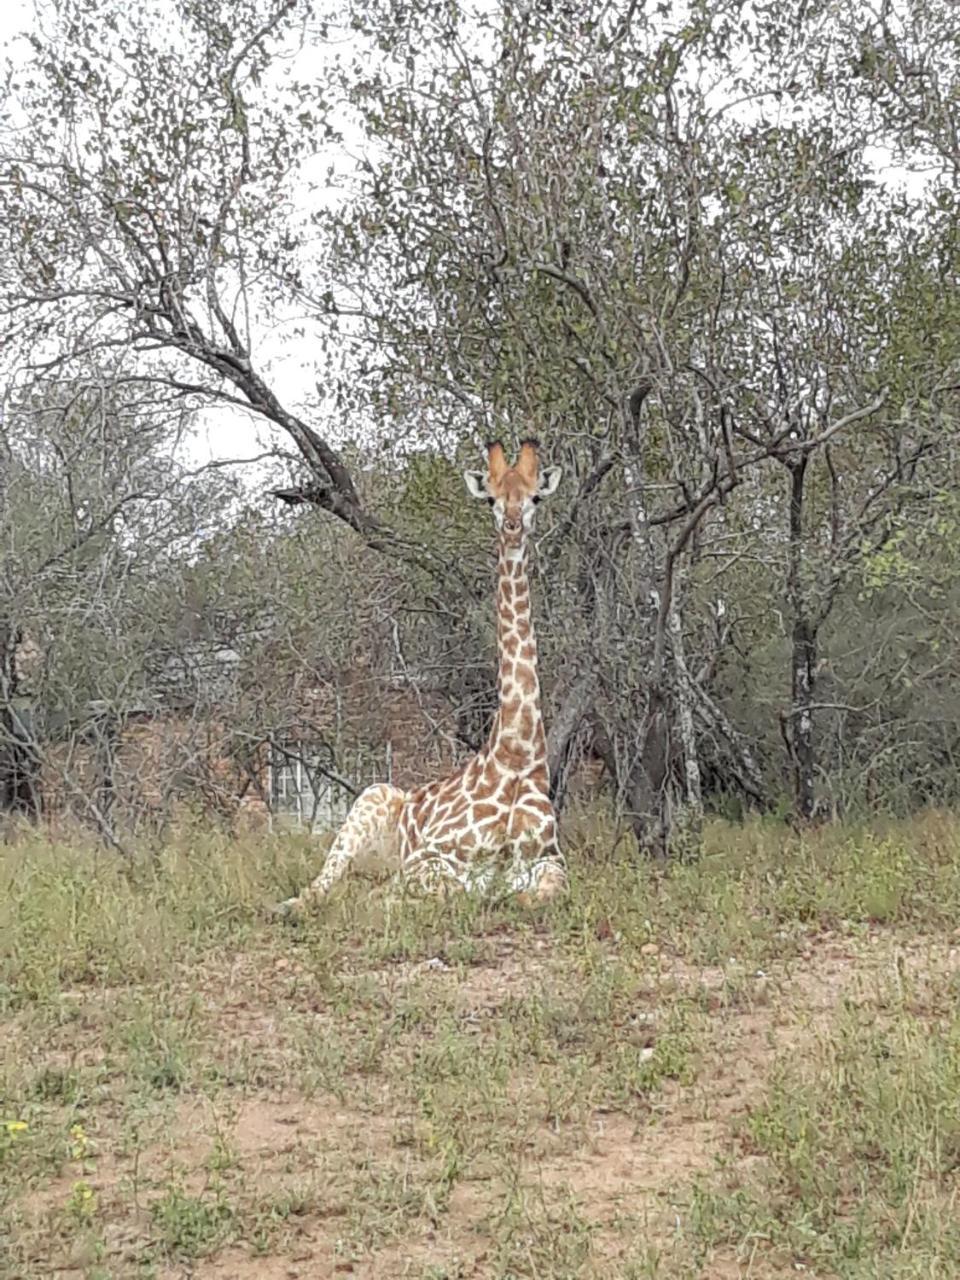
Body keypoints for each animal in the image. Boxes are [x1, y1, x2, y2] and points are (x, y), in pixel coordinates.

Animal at [273, 440, 568, 911]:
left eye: (535, 497)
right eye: (490, 498)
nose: (512, 526)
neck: (517, 755)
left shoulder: (551, 862)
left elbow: (538, 894)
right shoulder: (430, 857)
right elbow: (444, 890)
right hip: (369, 799)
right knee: (321, 887)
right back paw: (293, 907)